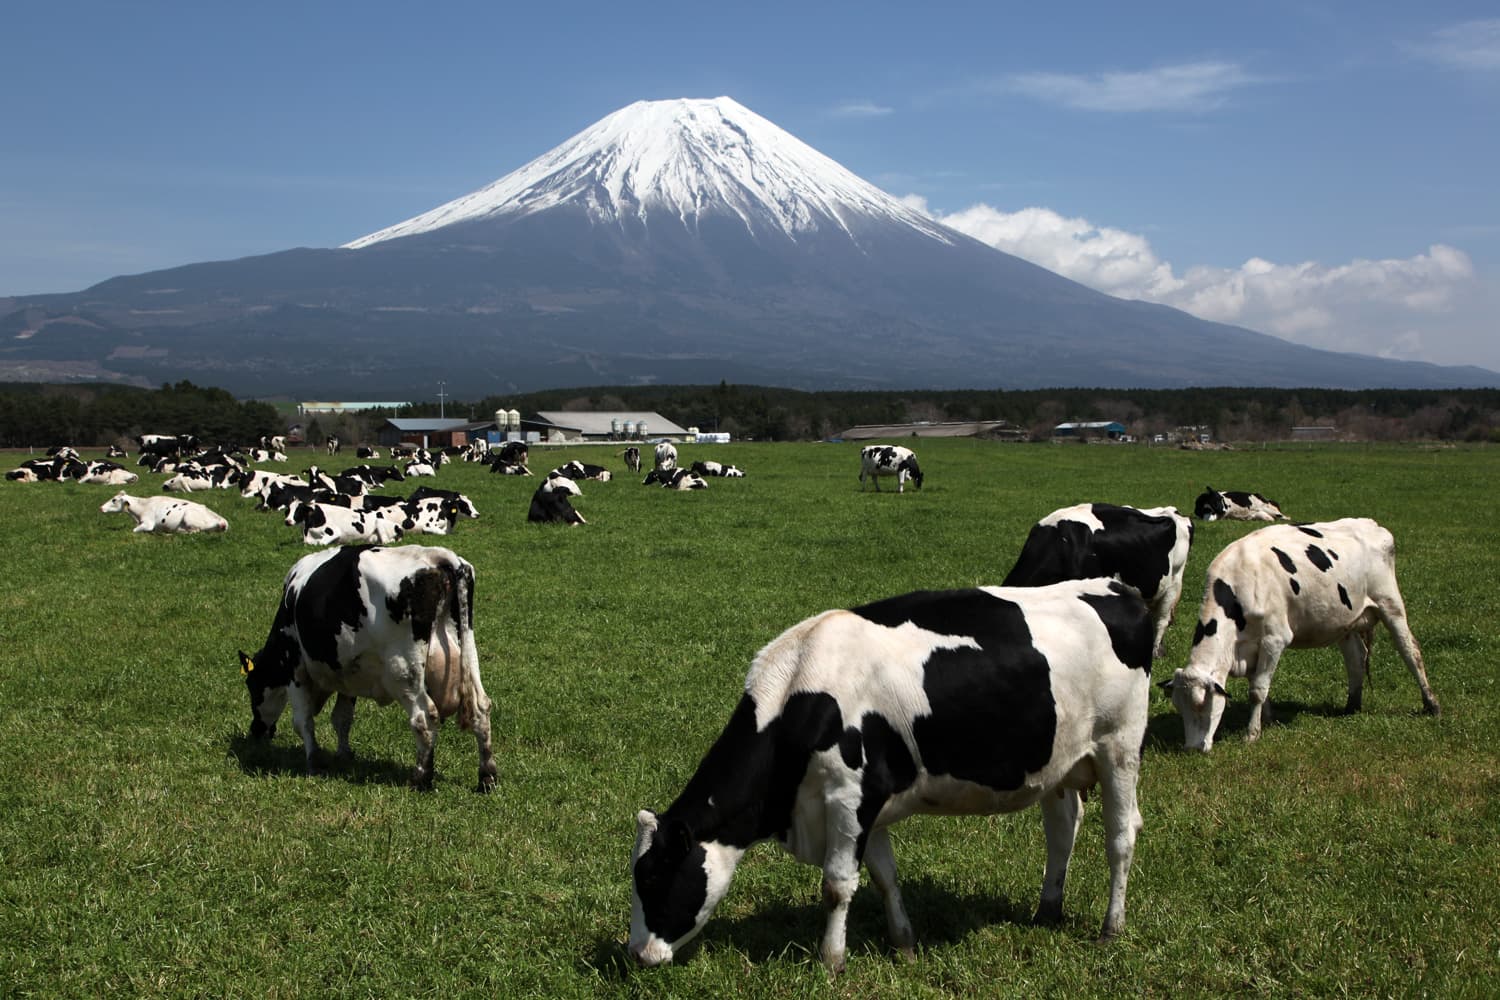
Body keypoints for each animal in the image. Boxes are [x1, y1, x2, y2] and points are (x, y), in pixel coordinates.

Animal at [238, 542, 498, 791]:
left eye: (252, 687)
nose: (256, 731)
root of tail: (438, 556)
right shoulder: (347, 673)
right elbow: (342, 718)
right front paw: (343, 754)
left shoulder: (295, 669)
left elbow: (303, 721)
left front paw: (314, 762)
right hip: (467, 652)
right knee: (480, 708)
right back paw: (487, 777)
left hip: (403, 671)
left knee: (423, 717)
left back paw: (420, 779)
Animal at [627, 575, 1152, 971]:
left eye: (653, 878)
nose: (637, 954)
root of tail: (1116, 587)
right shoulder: (868, 803)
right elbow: (884, 876)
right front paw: (904, 943)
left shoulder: (849, 794)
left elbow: (838, 884)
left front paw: (831, 961)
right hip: (1060, 762)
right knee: (1062, 829)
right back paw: (1047, 910)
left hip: (1120, 745)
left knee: (1121, 835)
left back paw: (1111, 928)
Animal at [1158, 521, 1440, 755]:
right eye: (1179, 707)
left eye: (1200, 705)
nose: (1192, 749)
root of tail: (1374, 525)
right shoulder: (1250, 647)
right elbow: (1258, 685)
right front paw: (1266, 719)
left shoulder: (1274, 639)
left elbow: (1257, 689)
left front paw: (1252, 734)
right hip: (1345, 621)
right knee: (1356, 660)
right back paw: (1352, 706)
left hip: (1390, 604)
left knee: (1411, 652)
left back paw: (1431, 704)